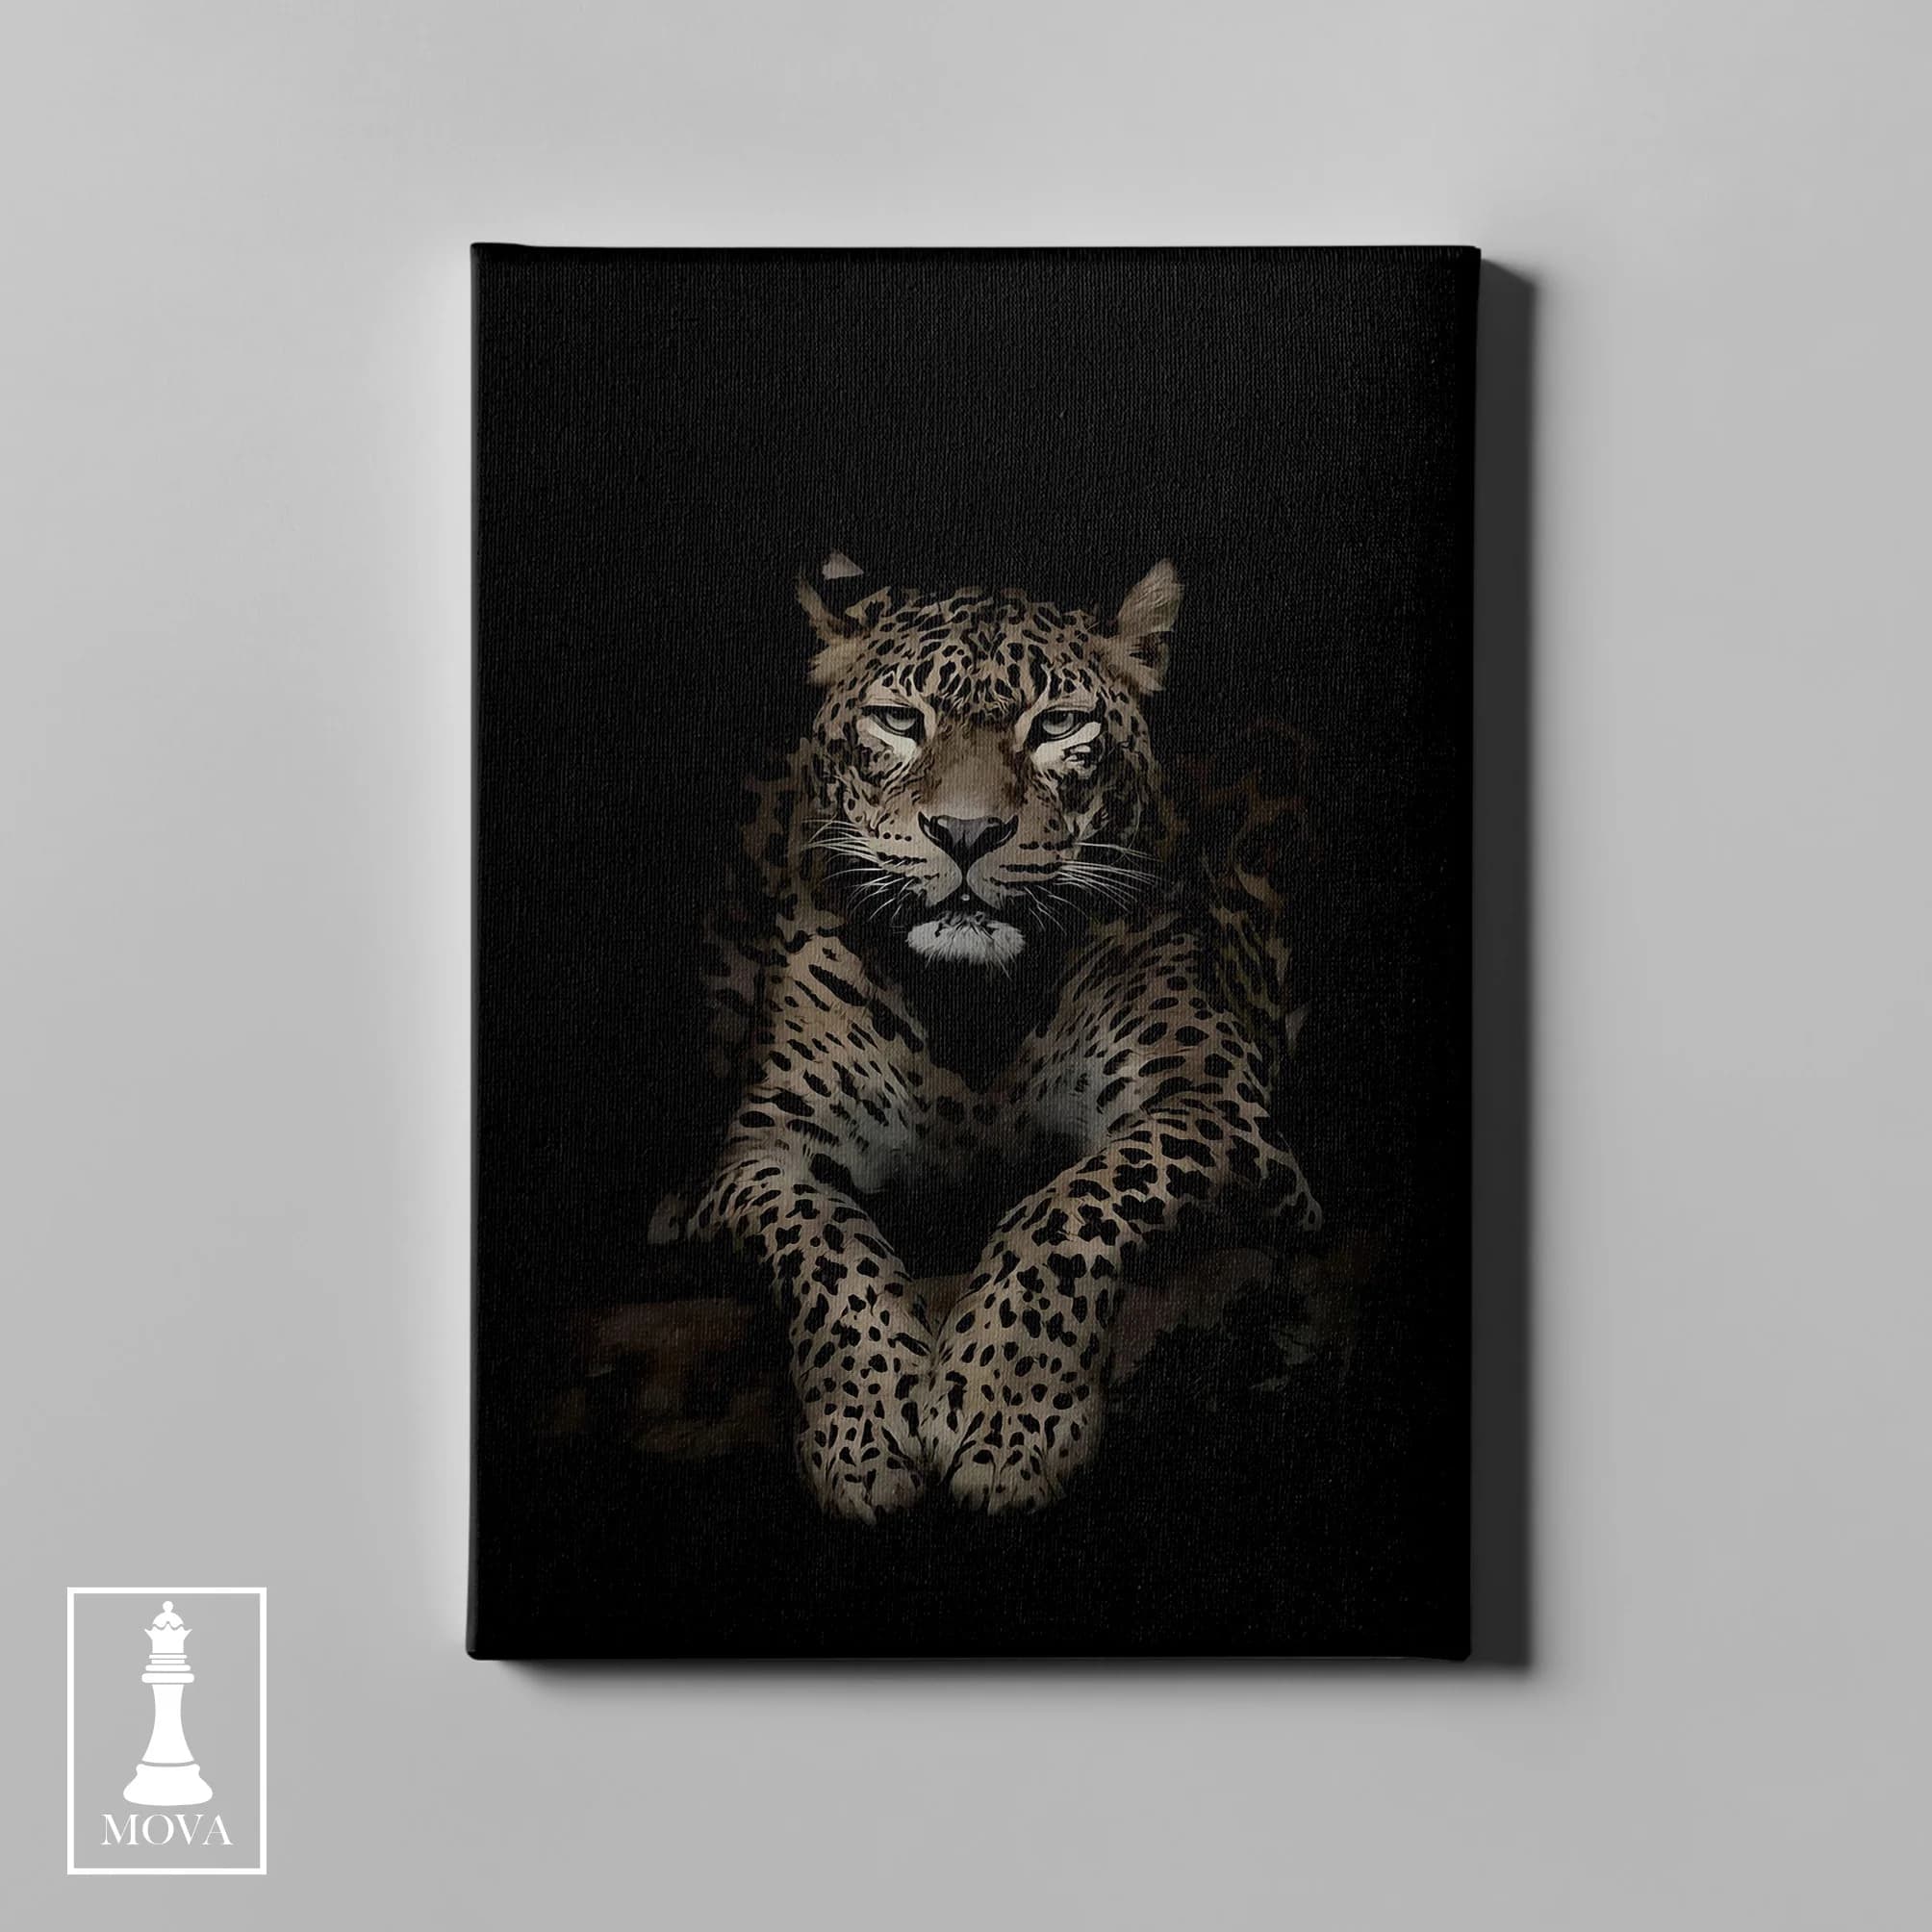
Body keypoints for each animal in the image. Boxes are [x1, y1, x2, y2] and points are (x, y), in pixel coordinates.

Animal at [655, 556, 1323, 1520]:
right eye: (901, 721)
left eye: (1057, 725)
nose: (966, 834)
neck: (970, 1010)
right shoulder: (764, 1150)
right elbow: (827, 1240)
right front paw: (865, 1430)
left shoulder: (1214, 1104)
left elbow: (1073, 1205)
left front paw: (1007, 1416)